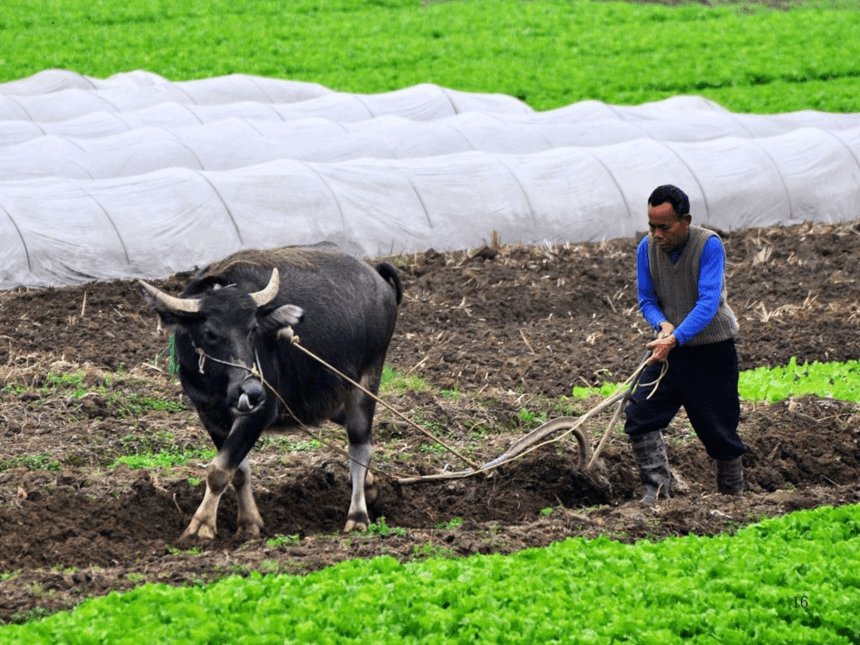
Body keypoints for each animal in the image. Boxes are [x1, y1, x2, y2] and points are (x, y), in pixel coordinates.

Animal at [139, 245, 404, 540]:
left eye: (252, 329)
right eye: (209, 333)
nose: (253, 389)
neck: (219, 386)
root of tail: (375, 274)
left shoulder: (260, 412)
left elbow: (219, 470)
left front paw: (201, 526)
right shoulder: (209, 415)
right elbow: (238, 470)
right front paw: (249, 523)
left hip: (366, 381)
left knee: (359, 445)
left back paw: (357, 515)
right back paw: (371, 488)